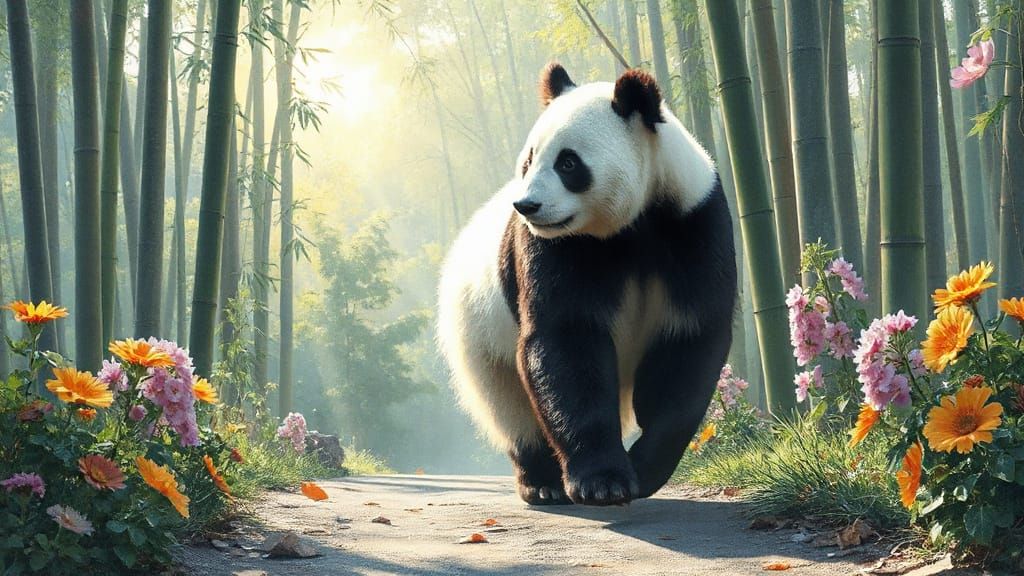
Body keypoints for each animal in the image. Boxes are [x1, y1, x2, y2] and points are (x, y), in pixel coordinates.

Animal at [437, 63, 736, 506]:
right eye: (528, 161)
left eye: (568, 163)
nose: (526, 205)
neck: (631, 227)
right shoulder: (559, 246)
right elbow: (567, 340)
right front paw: (603, 482)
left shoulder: (694, 223)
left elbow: (690, 342)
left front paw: (645, 470)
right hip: (478, 329)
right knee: (508, 406)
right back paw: (542, 482)